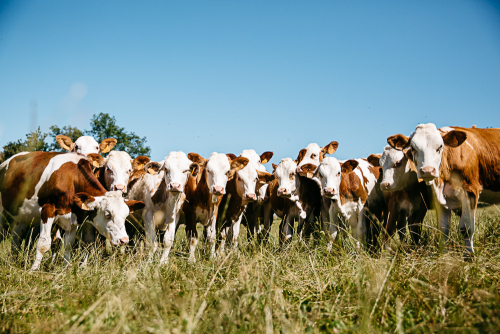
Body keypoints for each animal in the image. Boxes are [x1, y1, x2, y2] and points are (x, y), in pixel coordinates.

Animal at [0, 151, 145, 268]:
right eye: (108, 214)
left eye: (126, 216)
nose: (124, 240)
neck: (71, 180)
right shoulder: (48, 210)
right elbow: (43, 244)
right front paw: (34, 270)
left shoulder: (74, 219)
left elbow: (68, 245)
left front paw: (65, 270)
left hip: (22, 217)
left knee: (16, 238)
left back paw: (13, 261)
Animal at [386, 124, 500, 258]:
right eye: (413, 148)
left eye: (440, 146)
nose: (427, 171)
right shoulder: (439, 198)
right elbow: (443, 229)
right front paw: (444, 255)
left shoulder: (470, 191)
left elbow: (466, 228)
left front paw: (469, 255)